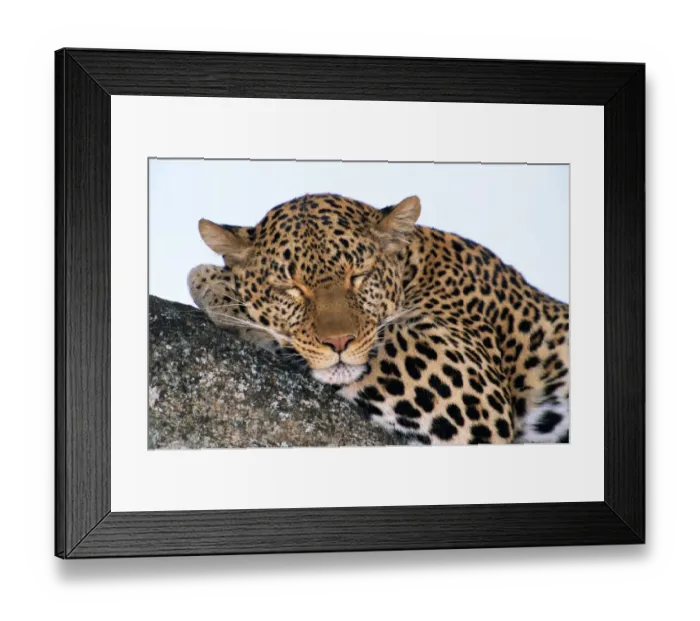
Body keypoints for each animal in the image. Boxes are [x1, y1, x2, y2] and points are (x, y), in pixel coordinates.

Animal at [187, 193, 570, 445]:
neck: (417, 267)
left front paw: (216, 286)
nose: (339, 342)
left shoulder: (469, 380)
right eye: (291, 288)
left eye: (359, 276)